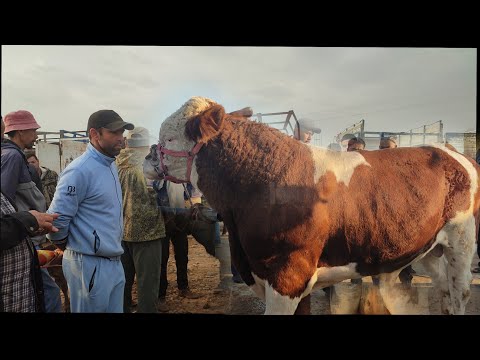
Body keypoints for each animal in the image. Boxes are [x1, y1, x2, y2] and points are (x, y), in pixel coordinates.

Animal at [142, 96, 480, 316]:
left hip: (461, 241)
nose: (146, 158)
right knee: (445, 290)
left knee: (460, 291)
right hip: (430, 247)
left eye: (168, 137)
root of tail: (448, 150)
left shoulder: (288, 274)